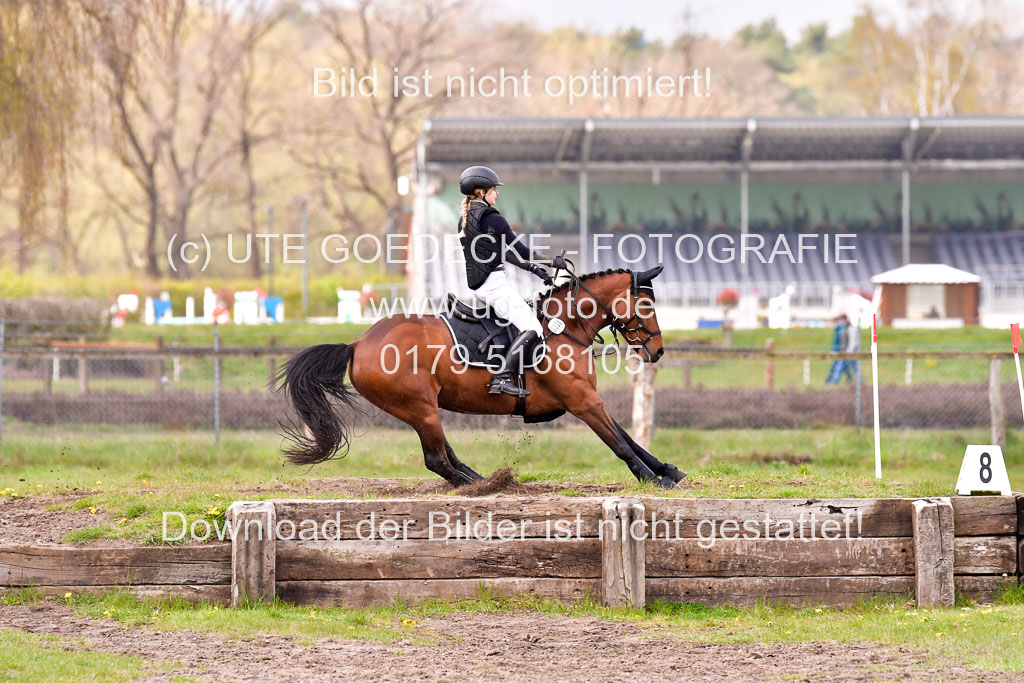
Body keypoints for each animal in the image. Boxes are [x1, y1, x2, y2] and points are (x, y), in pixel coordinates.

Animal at [272, 264, 688, 489]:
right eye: (646, 304)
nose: (657, 350)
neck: (565, 327)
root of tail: (358, 342)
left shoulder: (588, 399)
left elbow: (628, 438)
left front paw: (668, 469)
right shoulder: (582, 402)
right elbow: (619, 443)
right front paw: (654, 479)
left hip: (421, 409)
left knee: (444, 455)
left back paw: (483, 481)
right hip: (419, 406)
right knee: (436, 460)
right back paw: (482, 487)